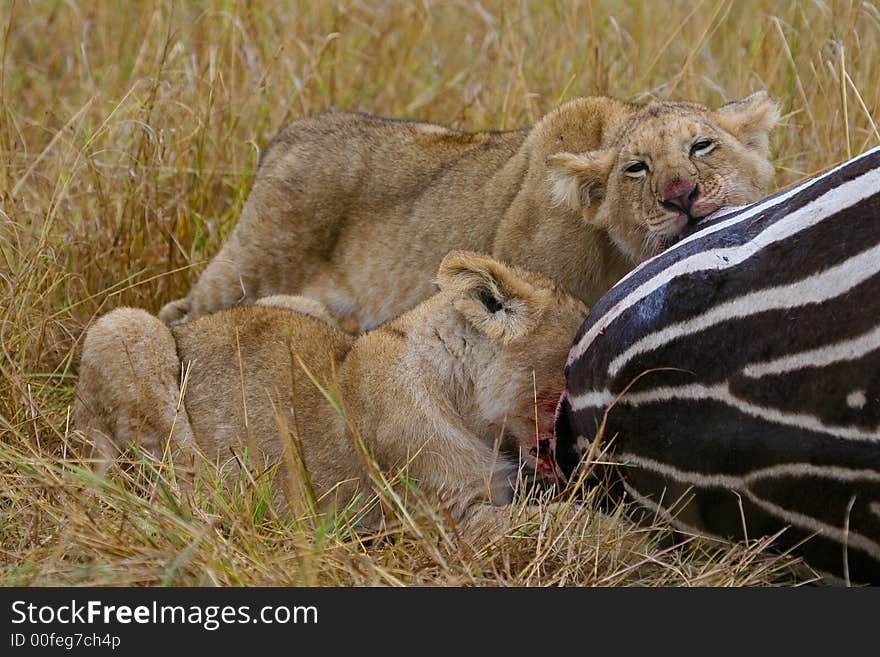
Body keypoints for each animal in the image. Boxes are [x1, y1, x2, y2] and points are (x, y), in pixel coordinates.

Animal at [158, 91, 776, 334]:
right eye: (637, 168)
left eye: (701, 146)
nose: (681, 194)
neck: (619, 258)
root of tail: (292, 133)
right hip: (246, 269)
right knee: (178, 315)